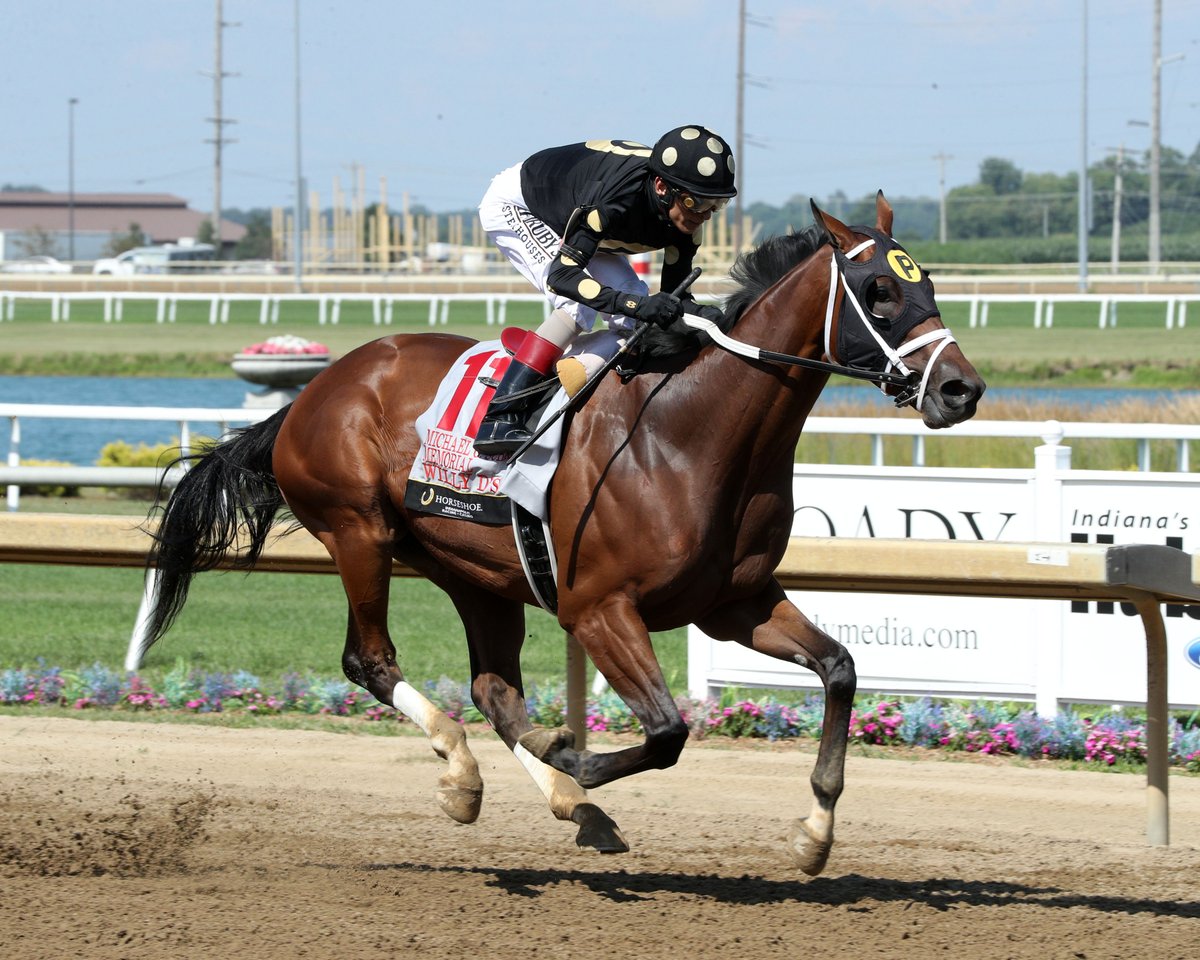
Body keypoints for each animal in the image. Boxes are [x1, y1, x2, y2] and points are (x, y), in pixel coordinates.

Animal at [143, 192, 984, 876]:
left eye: (929, 286)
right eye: (880, 291)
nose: (961, 389)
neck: (688, 434)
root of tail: (315, 389)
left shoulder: (734, 603)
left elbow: (840, 669)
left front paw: (814, 836)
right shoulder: (599, 609)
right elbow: (668, 732)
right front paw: (572, 752)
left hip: (473, 570)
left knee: (494, 690)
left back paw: (569, 804)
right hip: (360, 533)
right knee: (371, 661)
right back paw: (470, 775)